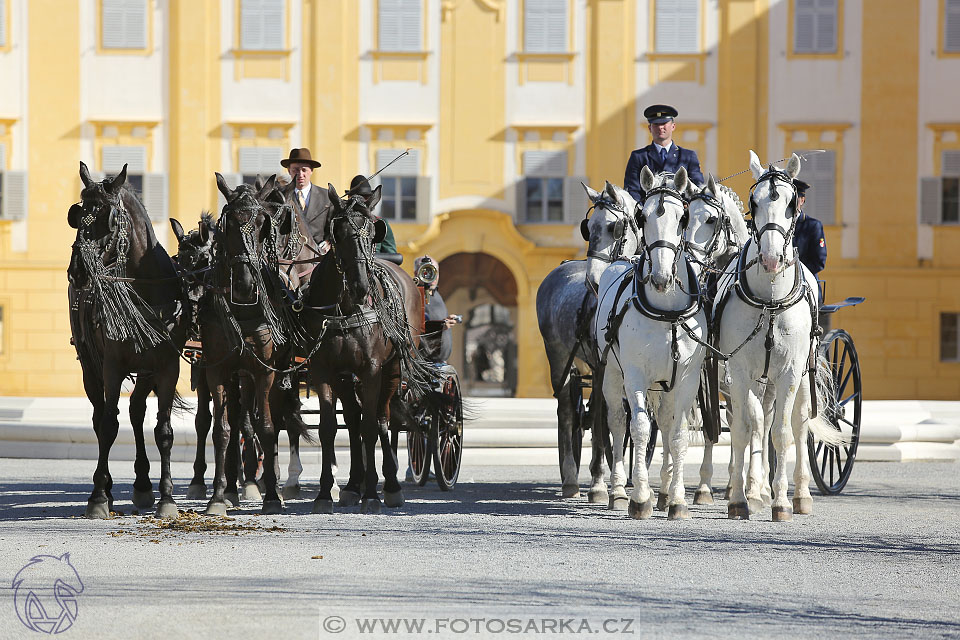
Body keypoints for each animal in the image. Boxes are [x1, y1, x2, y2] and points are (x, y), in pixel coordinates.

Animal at [68, 162, 189, 516]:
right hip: (90, 367)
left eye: (107, 218)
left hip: (146, 370)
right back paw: (107, 487)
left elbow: (163, 430)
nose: (77, 271)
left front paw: (167, 498)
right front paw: (98, 496)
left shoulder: (167, 366)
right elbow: (109, 425)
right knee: (100, 418)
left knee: (136, 412)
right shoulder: (112, 365)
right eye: (77, 216)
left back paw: (143, 483)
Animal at [536, 180, 640, 500]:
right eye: (588, 227)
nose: (592, 281)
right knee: (568, 412)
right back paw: (571, 478)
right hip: (559, 357)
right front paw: (598, 482)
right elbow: (600, 417)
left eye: (612, 227)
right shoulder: (603, 364)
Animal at [592, 166, 704, 520]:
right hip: (612, 375)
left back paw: (666, 491)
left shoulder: (686, 378)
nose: (661, 278)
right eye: (642, 216)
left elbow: (677, 434)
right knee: (617, 422)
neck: (667, 310)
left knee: (666, 425)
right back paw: (616, 490)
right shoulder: (635, 375)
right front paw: (640, 497)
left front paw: (677, 499)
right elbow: (639, 428)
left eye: (683, 217)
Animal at [716, 151, 844, 520]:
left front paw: (781, 501)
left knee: (798, 426)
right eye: (754, 202)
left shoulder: (789, 371)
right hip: (762, 378)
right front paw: (739, 499)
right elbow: (744, 429)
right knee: (760, 420)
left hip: (800, 375)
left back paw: (799, 493)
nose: (772, 259)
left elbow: (783, 433)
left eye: (790, 203)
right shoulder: (738, 371)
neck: (770, 300)